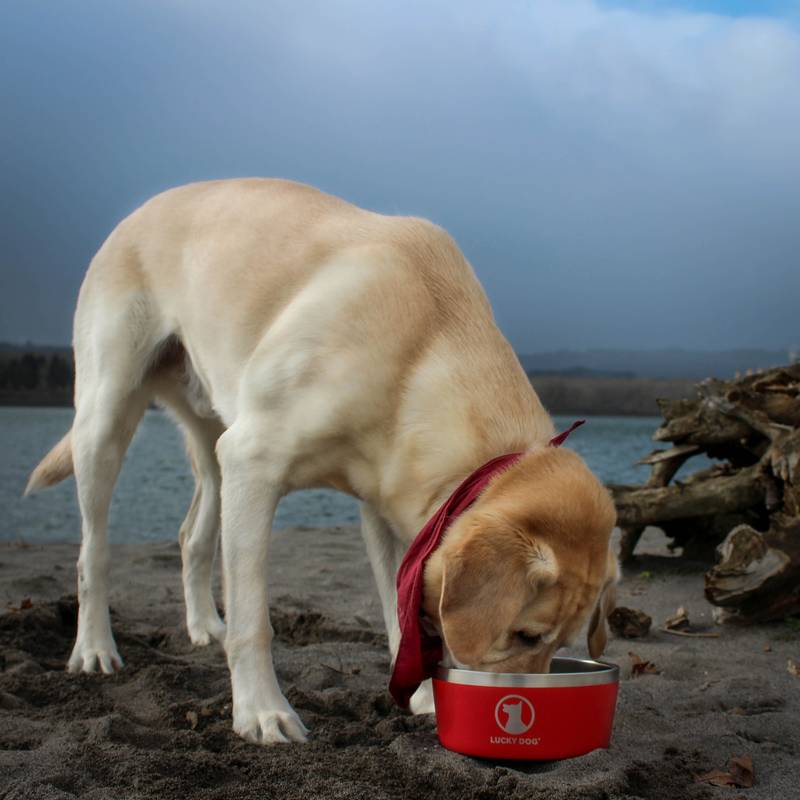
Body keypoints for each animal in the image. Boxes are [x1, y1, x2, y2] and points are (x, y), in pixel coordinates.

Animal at [23, 180, 612, 744]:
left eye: (563, 643)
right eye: (526, 634)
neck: (425, 349)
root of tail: (140, 210)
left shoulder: (390, 513)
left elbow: (401, 615)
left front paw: (422, 698)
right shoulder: (253, 462)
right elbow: (254, 620)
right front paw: (262, 712)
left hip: (214, 441)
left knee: (192, 535)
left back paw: (204, 626)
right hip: (106, 419)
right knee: (93, 552)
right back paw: (94, 647)